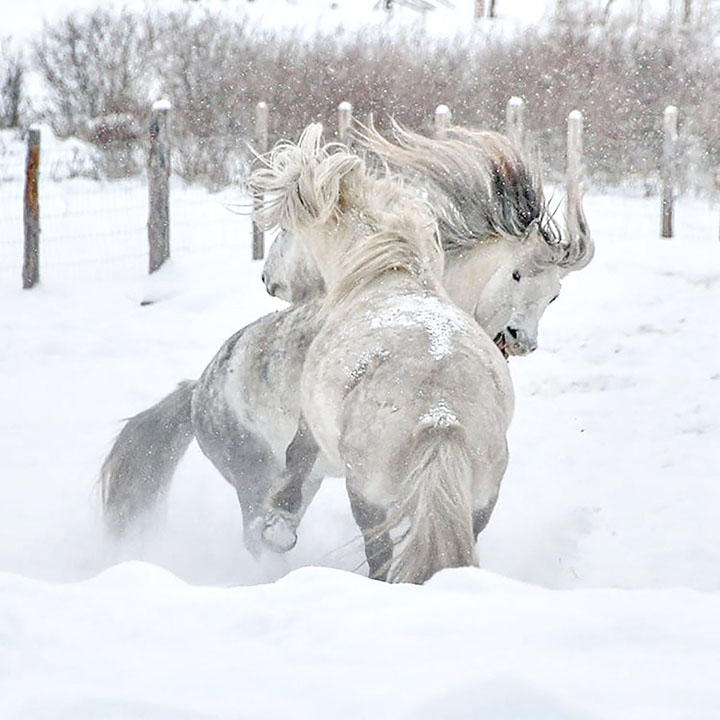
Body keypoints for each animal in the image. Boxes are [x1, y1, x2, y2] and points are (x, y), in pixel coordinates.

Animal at [102, 122, 596, 564]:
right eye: (517, 275)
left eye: (553, 293)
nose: (521, 339)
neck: (388, 278)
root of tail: (198, 391)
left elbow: (299, 460)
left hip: (307, 482)